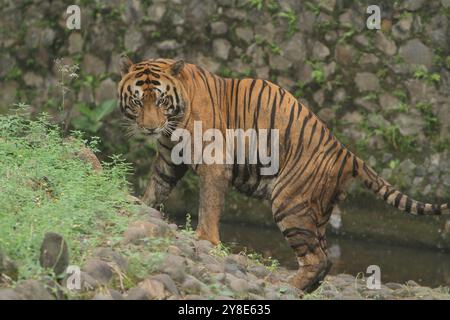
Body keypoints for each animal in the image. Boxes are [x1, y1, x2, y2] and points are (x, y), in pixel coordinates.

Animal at [118, 55, 448, 292]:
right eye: (137, 100)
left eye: (161, 100)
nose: (150, 127)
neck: (173, 123)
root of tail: (347, 153)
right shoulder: (168, 159)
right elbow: (156, 188)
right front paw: (140, 208)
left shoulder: (214, 162)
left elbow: (208, 206)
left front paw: (205, 241)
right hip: (316, 212)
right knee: (326, 258)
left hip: (291, 204)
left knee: (317, 258)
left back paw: (285, 285)